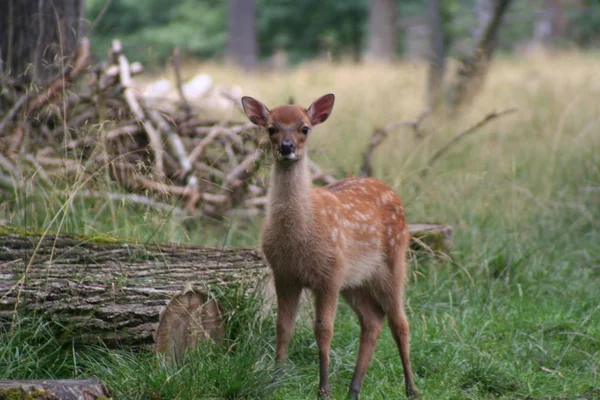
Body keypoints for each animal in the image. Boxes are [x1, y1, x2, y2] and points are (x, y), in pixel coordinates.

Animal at [239, 94, 418, 400]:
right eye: (271, 128)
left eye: (305, 128)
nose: (287, 147)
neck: (299, 237)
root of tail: (392, 191)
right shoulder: (284, 275)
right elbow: (283, 327)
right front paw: (274, 381)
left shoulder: (328, 276)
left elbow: (323, 330)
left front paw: (323, 388)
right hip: (354, 281)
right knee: (373, 320)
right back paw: (354, 389)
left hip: (394, 262)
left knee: (400, 322)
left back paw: (411, 388)